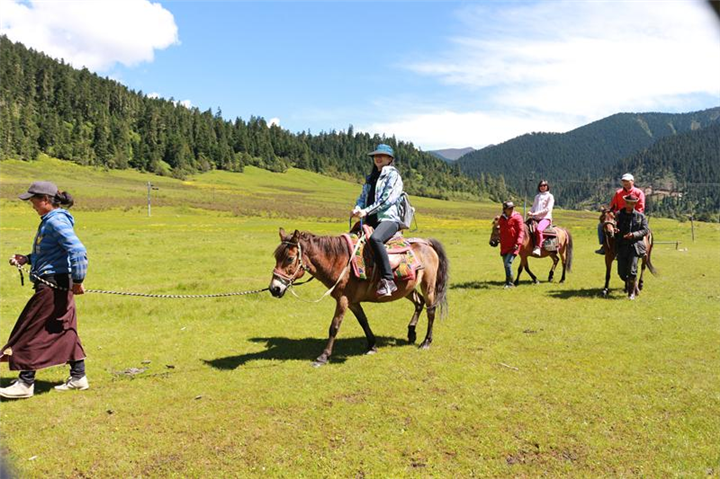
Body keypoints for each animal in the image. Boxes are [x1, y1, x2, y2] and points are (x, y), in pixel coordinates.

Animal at [270, 229, 450, 368]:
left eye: (290, 258)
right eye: (276, 257)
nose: (274, 288)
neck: (339, 261)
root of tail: (426, 243)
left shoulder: (343, 300)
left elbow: (334, 327)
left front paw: (323, 357)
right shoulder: (353, 301)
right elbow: (363, 321)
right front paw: (372, 345)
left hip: (428, 285)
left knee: (431, 310)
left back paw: (426, 342)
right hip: (408, 288)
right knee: (419, 303)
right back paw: (411, 333)